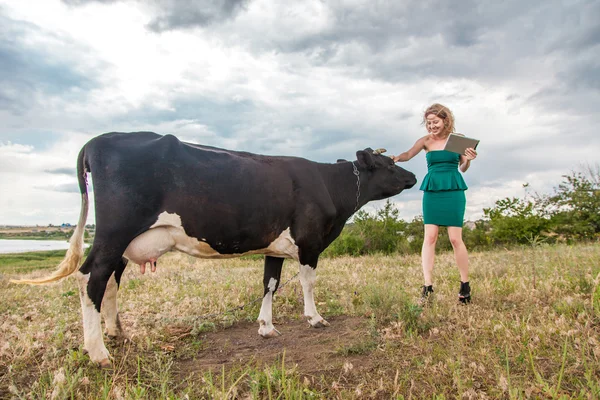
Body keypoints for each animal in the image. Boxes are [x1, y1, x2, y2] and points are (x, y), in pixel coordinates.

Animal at [10, 131, 418, 366]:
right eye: (387, 164)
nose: (414, 175)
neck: (328, 185)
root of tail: (98, 140)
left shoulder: (275, 246)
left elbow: (270, 283)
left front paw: (266, 327)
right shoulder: (310, 241)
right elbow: (307, 282)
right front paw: (314, 318)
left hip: (122, 240)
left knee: (109, 279)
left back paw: (117, 334)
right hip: (114, 231)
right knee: (90, 278)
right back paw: (99, 352)